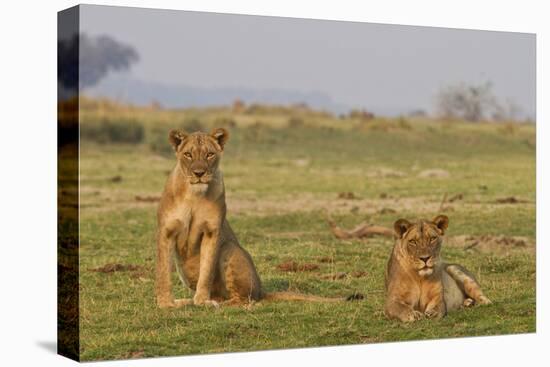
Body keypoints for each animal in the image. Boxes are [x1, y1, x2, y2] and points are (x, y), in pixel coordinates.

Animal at [155, 128, 358, 310]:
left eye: (210, 154)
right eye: (188, 154)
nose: (199, 173)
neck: (194, 195)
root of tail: (262, 290)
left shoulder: (212, 232)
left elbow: (206, 271)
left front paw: (202, 301)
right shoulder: (166, 232)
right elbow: (163, 272)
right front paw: (166, 303)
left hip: (230, 249)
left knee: (245, 299)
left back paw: (217, 304)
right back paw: (186, 301)